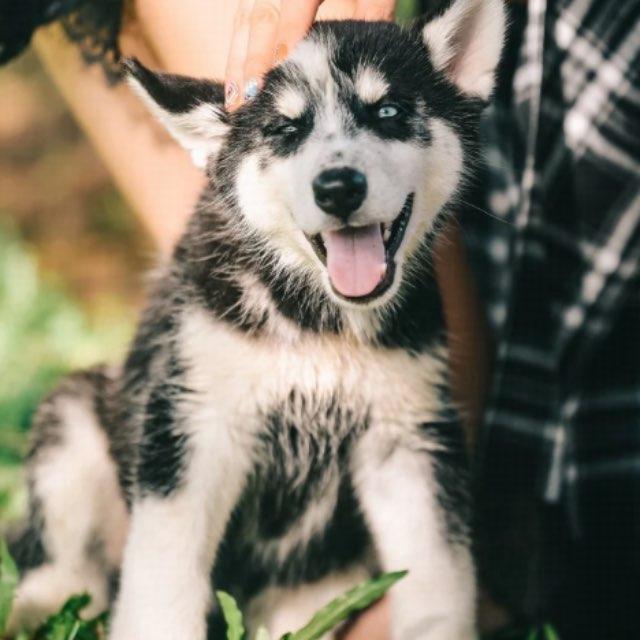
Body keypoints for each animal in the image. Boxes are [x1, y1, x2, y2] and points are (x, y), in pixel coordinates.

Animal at [7, 2, 502, 636]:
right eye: (285, 130)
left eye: (388, 111)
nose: (338, 187)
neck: (318, 326)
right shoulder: (193, 423)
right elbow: (162, 581)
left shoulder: (409, 439)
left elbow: (439, 581)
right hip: (74, 420)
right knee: (63, 565)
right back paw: (40, 605)